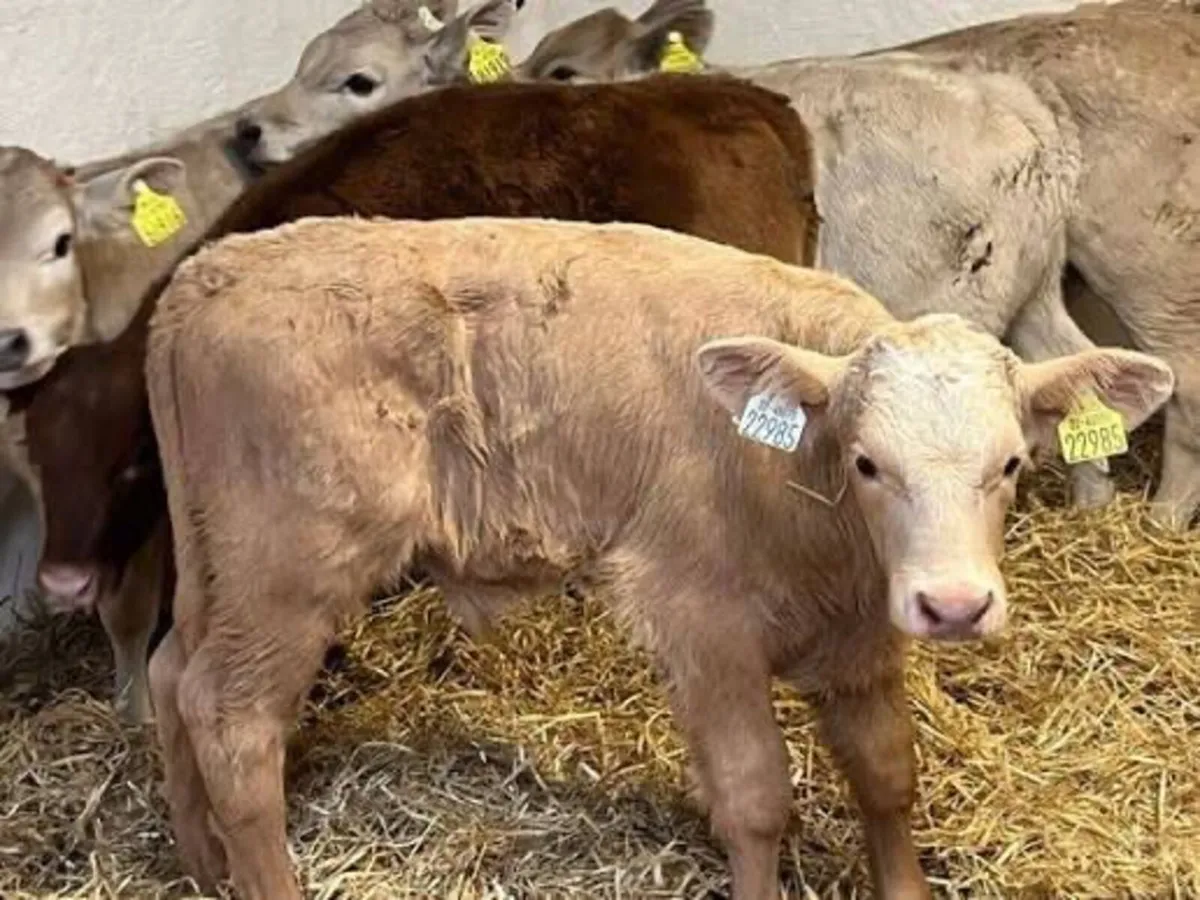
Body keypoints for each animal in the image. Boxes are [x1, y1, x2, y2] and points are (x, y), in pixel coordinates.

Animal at [143, 215, 1175, 900]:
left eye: (1010, 464)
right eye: (869, 462)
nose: (954, 606)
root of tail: (207, 270)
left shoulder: (858, 638)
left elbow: (888, 772)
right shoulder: (699, 619)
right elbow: (755, 795)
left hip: (217, 566)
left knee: (170, 676)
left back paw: (203, 863)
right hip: (286, 571)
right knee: (232, 721)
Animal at [234, 0, 1118, 515]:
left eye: (357, 78)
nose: (248, 129)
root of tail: (1015, 103)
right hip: (1034, 292)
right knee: (1077, 375)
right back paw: (1095, 506)